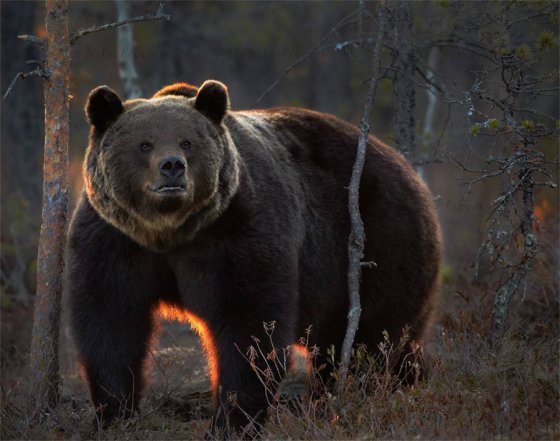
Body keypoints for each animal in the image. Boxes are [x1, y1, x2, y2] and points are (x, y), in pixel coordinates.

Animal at [66, 80, 442, 436]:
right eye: (144, 144)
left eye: (187, 142)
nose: (172, 166)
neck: (170, 232)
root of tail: (410, 173)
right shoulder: (114, 240)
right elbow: (111, 324)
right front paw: (114, 413)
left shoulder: (238, 232)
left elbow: (249, 328)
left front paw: (231, 422)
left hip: (380, 245)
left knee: (369, 342)